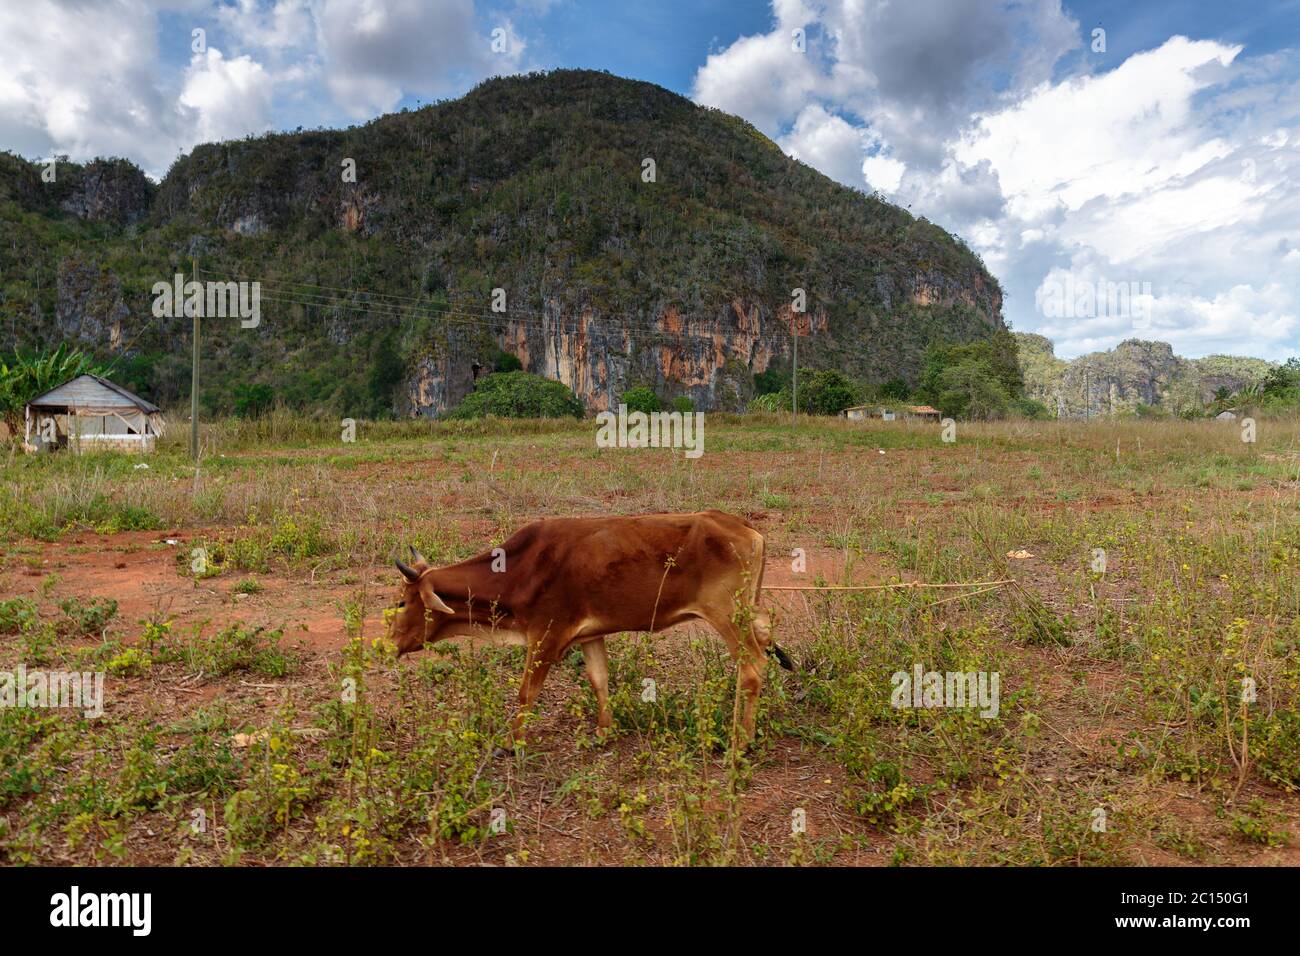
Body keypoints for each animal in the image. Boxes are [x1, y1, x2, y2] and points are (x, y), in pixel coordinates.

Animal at [384, 512, 790, 749]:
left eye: (402, 602)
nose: (389, 644)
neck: (519, 570)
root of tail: (745, 527)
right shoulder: (590, 635)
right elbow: (600, 680)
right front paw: (602, 732)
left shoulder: (545, 636)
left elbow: (526, 693)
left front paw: (512, 743)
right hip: (748, 612)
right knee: (766, 641)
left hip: (727, 615)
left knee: (752, 668)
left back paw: (741, 741)